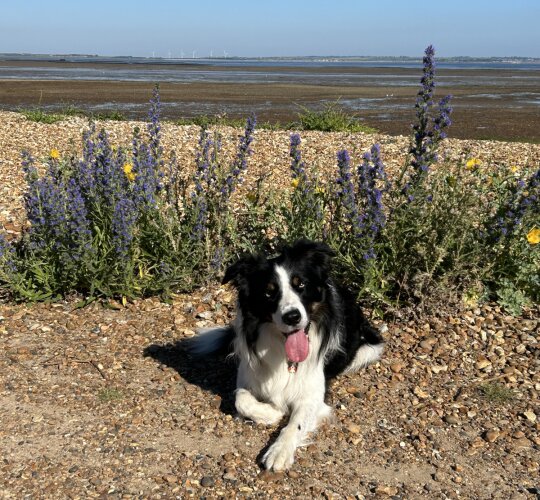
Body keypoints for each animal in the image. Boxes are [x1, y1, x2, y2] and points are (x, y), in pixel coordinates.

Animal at [190, 240, 384, 470]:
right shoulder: (247, 376)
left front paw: (279, 451)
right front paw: (271, 413)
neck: (285, 353)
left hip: (367, 349)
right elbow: (241, 399)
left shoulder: (312, 395)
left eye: (301, 285)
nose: (292, 317)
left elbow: (295, 424)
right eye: (268, 293)